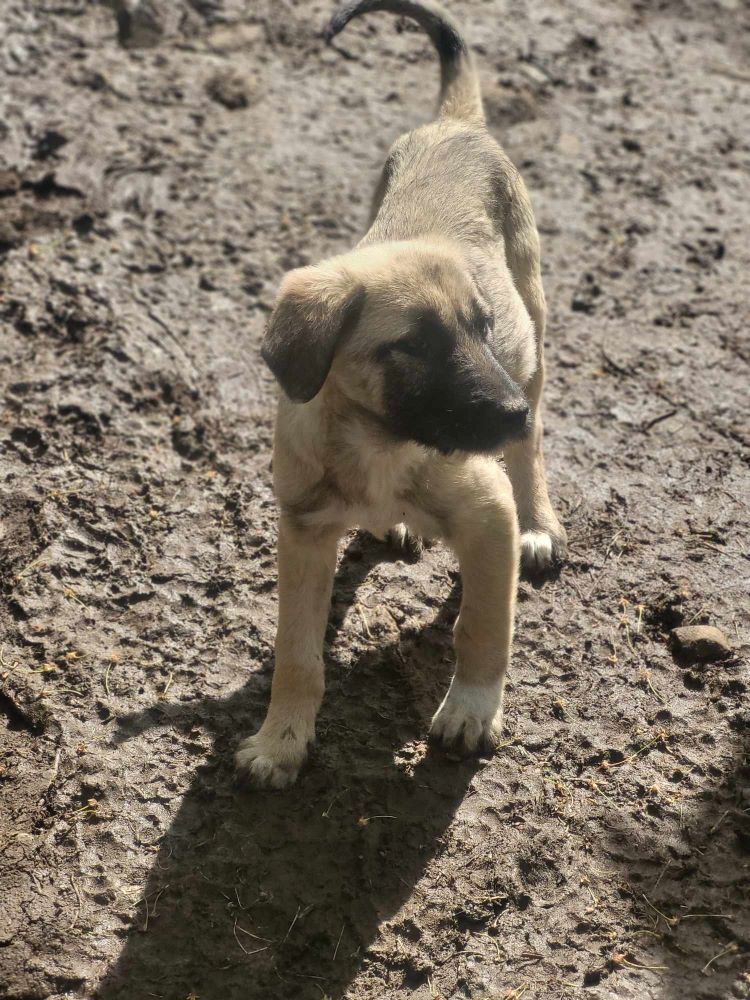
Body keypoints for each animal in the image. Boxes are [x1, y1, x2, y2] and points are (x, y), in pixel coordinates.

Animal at [238, 0, 568, 784]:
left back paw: (540, 519)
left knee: (535, 446)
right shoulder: (303, 529)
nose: (506, 413)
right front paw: (281, 739)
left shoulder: (487, 514)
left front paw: (471, 710)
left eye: (481, 328)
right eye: (413, 346)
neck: (378, 444)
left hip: (534, 328)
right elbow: (297, 654)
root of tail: (454, 125)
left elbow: (483, 627)